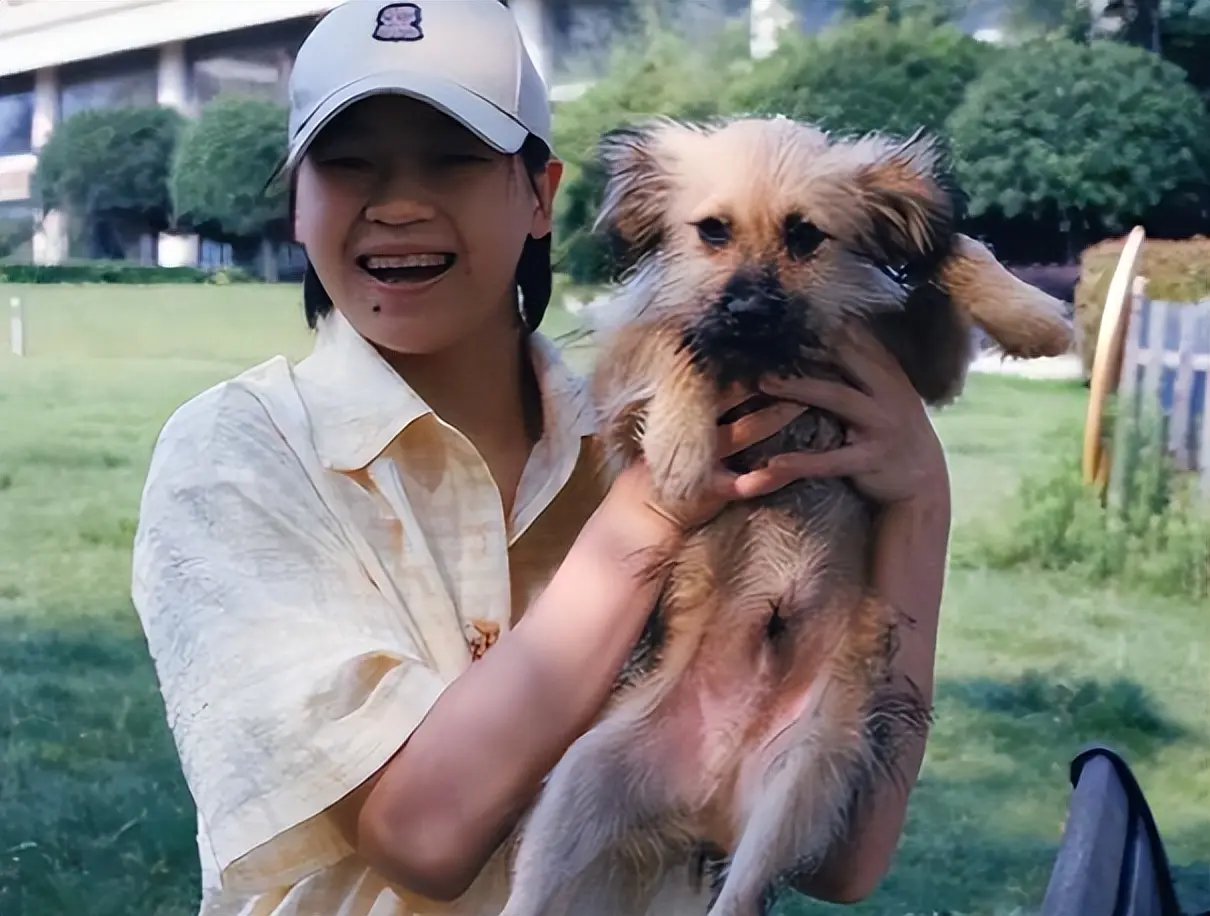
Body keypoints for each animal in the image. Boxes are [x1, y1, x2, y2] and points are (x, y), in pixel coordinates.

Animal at [498, 115, 1074, 916]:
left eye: (805, 237)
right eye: (712, 231)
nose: (744, 311)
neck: (767, 357)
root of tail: (705, 804)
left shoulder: (915, 370)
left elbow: (949, 254)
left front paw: (1031, 316)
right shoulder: (614, 401)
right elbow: (679, 333)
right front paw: (682, 442)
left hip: (802, 784)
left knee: (740, 895)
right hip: (572, 796)